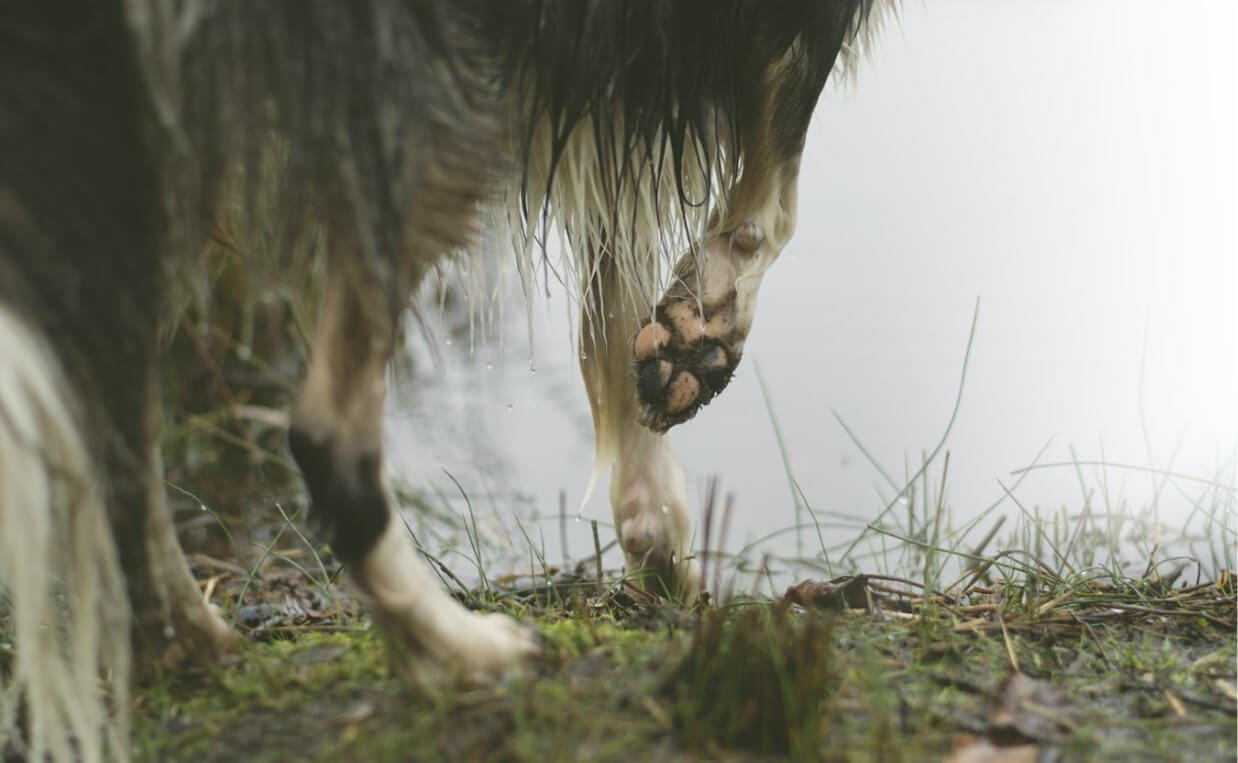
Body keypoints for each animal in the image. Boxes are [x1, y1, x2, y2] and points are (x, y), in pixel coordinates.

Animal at [0, 2, 891, 758]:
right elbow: (777, 183)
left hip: (126, 149)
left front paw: (659, 514)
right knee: (324, 430)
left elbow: (619, 268)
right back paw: (458, 651)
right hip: (426, 102)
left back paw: (189, 642)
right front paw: (705, 328)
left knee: (111, 428)